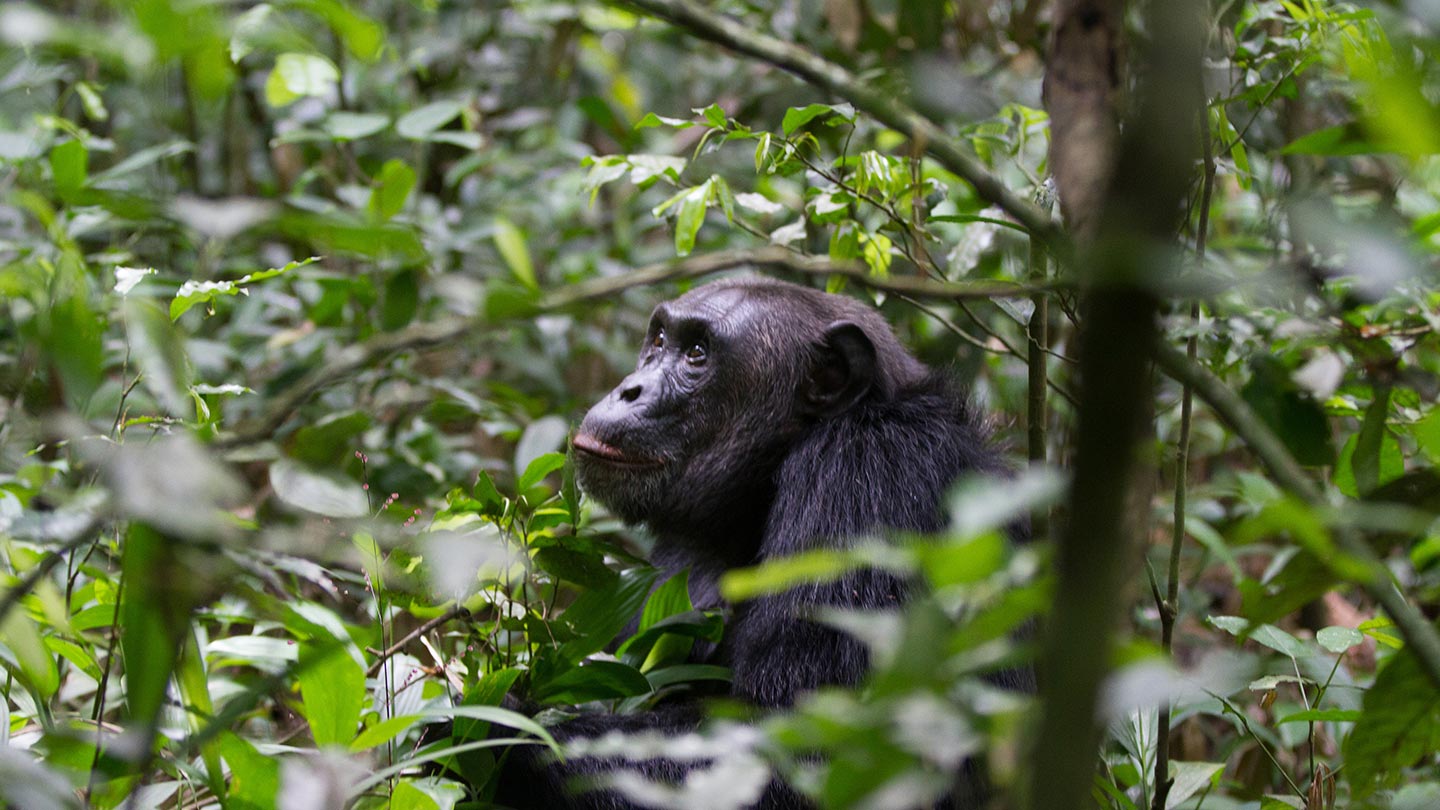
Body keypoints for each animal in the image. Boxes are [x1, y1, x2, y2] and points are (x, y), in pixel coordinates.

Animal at [501, 276, 1019, 807]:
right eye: (660, 340)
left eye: (697, 354)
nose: (629, 389)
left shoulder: (869, 477)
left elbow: (813, 750)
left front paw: (501, 725)